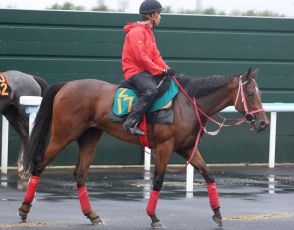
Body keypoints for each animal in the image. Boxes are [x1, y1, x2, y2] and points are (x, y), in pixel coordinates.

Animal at [19, 68, 270, 228]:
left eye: (259, 93)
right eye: (250, 93)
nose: (264, 123)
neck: (188, 104)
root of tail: (67, 86)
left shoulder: (187, 148)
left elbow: (209, 174)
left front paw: (217, 214)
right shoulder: (166, 147)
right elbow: (158, 180)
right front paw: (153, 217)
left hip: (89, 137)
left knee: (80, 174)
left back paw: (92, 215)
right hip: (63, 135)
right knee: (39, 164)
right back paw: (24, 209)